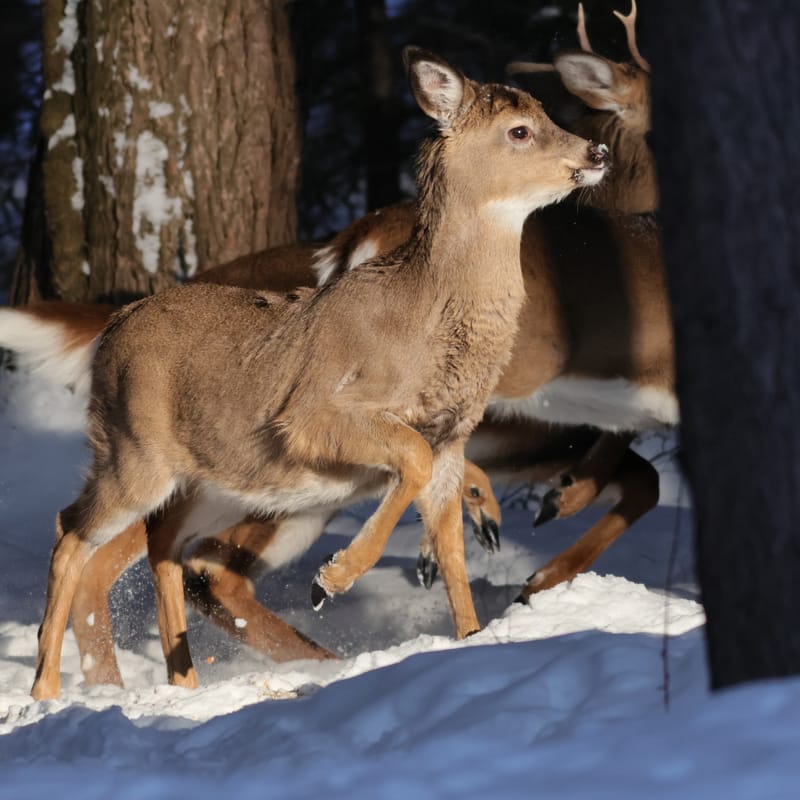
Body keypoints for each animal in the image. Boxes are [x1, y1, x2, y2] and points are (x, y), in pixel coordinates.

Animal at [6, 1, 659, 690]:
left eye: (550, 114)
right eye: (520, 130)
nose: (596, 151)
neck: (425, 326)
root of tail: (113, 326)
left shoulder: (453, 439)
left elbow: (452, 550)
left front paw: (470, 639)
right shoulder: (316, 413)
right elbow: (409, 463)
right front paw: (331, 580)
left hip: (215, 481)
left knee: (162, 542)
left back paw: (180, 680)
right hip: (136, 455)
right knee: (72, 529)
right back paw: (47, 688)